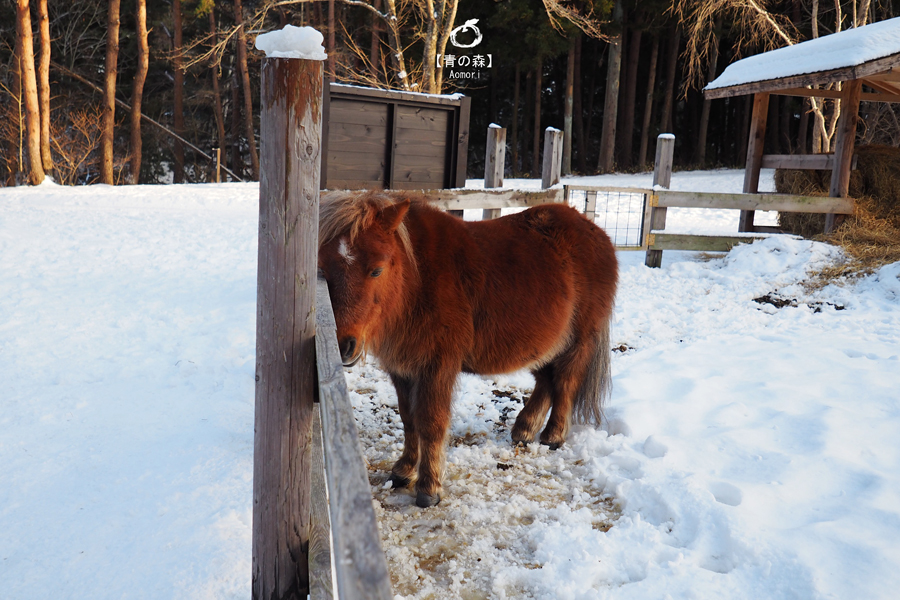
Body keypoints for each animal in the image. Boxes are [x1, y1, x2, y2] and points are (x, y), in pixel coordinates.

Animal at [318, 191, 620, 506]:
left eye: (377, 270)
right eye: (322, 269)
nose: (343, 345)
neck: (417, 280)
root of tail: (595, 231)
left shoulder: (437, 366)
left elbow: (430, 422)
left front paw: (429, 487)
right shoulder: (402, 369)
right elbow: (408, 419)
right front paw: (403, 471)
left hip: (578, 341)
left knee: (565, 382)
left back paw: (553, 437)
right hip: (542, 344)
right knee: (546, 382)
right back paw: (524, 430)